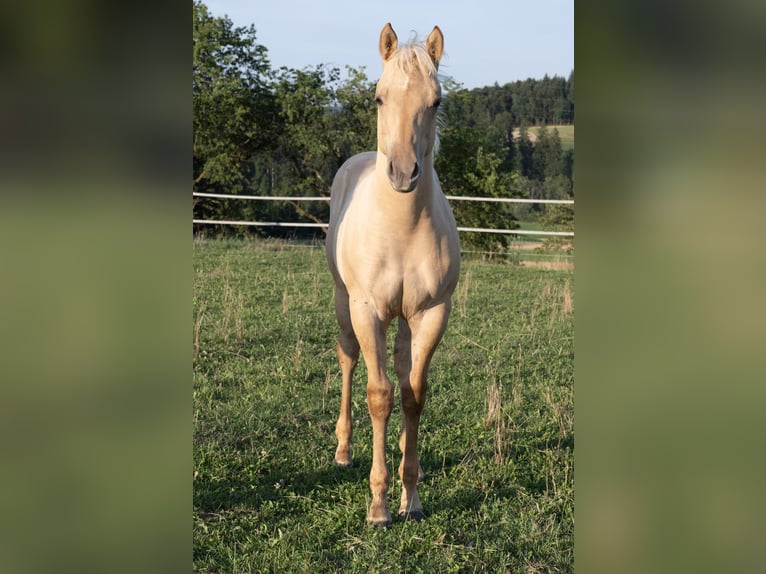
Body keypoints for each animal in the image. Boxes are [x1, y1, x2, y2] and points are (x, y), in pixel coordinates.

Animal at [326, 22, 462, 528]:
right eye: (378, 97)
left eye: (436, 100)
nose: (403, 174)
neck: (401, 227)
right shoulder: (368, 311)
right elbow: (380, 395)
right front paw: (380, 505)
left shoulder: (432, 313)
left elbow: (412, 395)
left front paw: (412, 496)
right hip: (344, 303)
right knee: (348, 359)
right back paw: (344, 450)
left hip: (405, 319)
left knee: (404, 369)